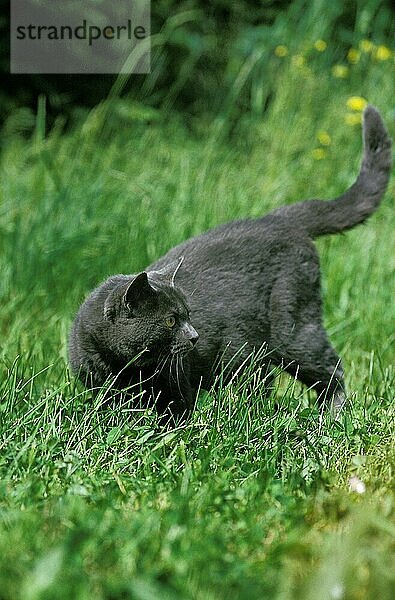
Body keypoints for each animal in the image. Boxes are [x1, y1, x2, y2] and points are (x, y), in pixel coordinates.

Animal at [69, 105, 392, 420]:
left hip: (293, 330)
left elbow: (174, 420)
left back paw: (330, 416)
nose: (195, 336)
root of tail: (277, 219)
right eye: (171, 320)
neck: (124, 369)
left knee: (330, 368)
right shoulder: (100, 389)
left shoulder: (178, 388)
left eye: (188, 315)